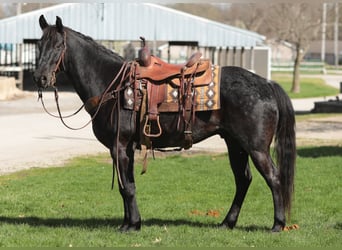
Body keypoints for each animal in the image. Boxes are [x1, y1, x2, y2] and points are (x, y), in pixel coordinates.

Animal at [35, 16, 296, 232]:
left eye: (58, 46)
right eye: (38, 45)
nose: (40, 77)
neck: (113, 85)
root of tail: (266, 84)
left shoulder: (119, 146)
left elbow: (126, 187)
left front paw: (132, 225)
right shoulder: (127, 148)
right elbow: (127, 185)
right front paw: (129, 223)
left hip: (256, 148)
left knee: (273, 178)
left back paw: (277, 225)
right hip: (235, 145)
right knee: (243, 180)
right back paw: (227, 222)